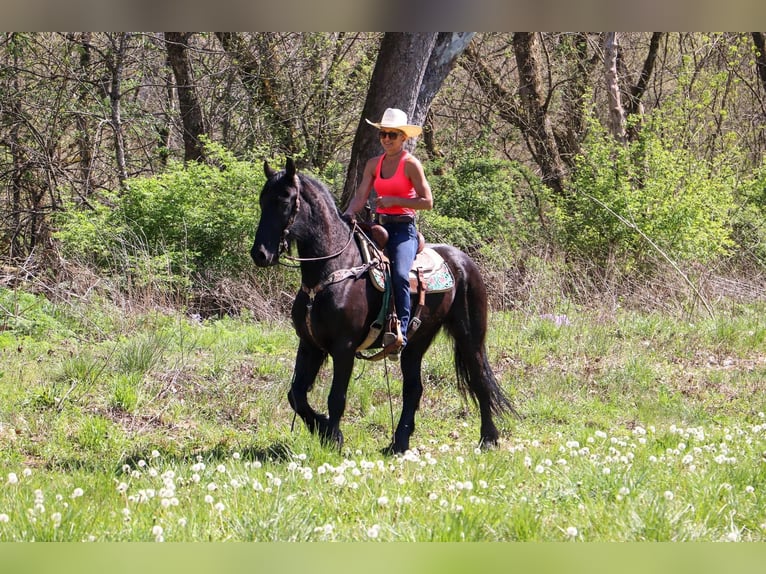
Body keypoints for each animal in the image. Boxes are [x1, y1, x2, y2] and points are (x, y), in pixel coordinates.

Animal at [252, 159, 516, 454]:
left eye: (285, 200)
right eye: (263, 200)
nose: (260, 254)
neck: (330, 272)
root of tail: (463, 261)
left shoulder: (343, 347)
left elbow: (336, 397)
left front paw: (334, 438)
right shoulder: (310, 345)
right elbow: (296, 394)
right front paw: (321, 428)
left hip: (469, 336)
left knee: (479, 378)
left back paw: (488, 438)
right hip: (416, 342)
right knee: (414, 389)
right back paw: (398, 443)